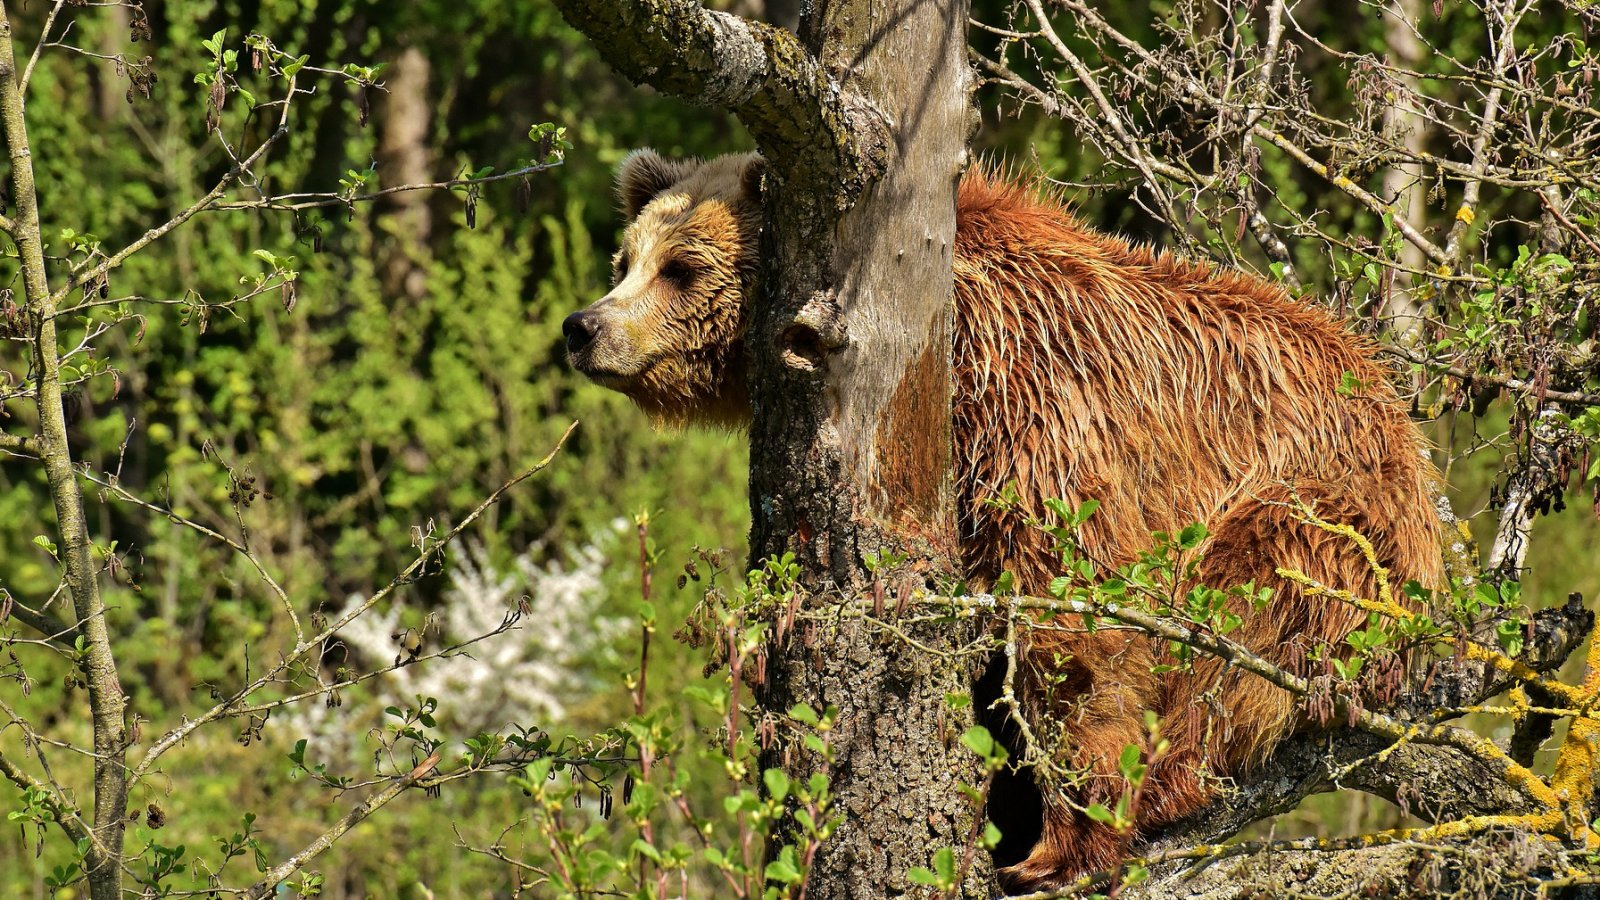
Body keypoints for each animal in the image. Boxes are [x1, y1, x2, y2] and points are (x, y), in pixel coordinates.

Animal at [566, 147, 1452, 883]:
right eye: (624, 259)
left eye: (681, 268)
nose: (584, 326)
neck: (946, 349)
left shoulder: (1043, 398)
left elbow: (1074, 615)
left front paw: (1063, 837)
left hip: (1330, 509)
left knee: (1249, 605)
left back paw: (1169, 779)